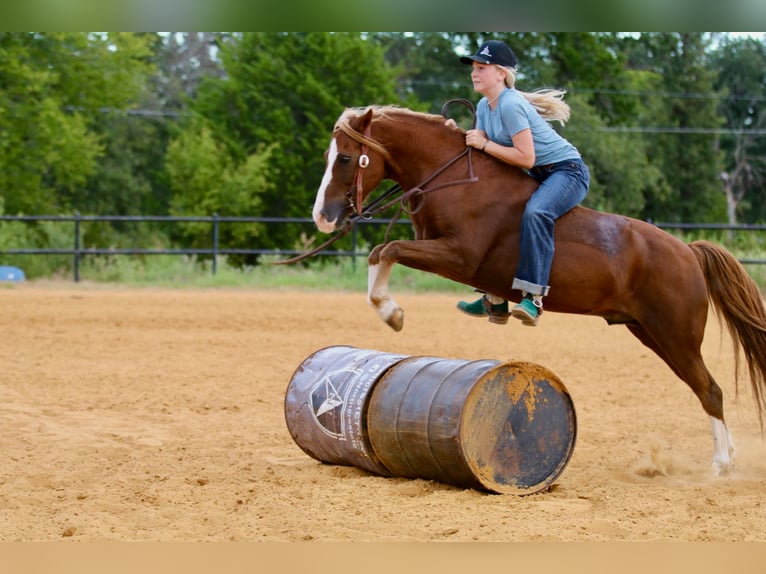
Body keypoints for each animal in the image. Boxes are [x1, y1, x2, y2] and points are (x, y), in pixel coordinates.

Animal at [308, 104, 766, 476]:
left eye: (346, 157)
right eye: (328, 157)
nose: (322, 217)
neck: (457, 179)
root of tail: (687, 252)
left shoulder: (458, 256)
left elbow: (385, 250)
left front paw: (391, 311)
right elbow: (383, 251)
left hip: (676, 335)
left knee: (710, 390)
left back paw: (722, 464)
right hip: (650, 332)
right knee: (703, 388)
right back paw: (727, 458)